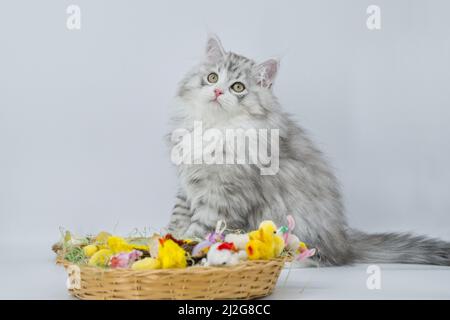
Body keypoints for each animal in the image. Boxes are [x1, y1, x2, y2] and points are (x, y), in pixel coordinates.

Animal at [166, 35, 450, 266]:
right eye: (212, 77)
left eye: (238, 87)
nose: (216, 91)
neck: (214, 127)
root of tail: (344, 243)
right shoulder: (187, 188)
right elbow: (178, 219)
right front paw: (168, 242)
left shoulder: (222, 196)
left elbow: (199, 229)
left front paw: (186, 255)